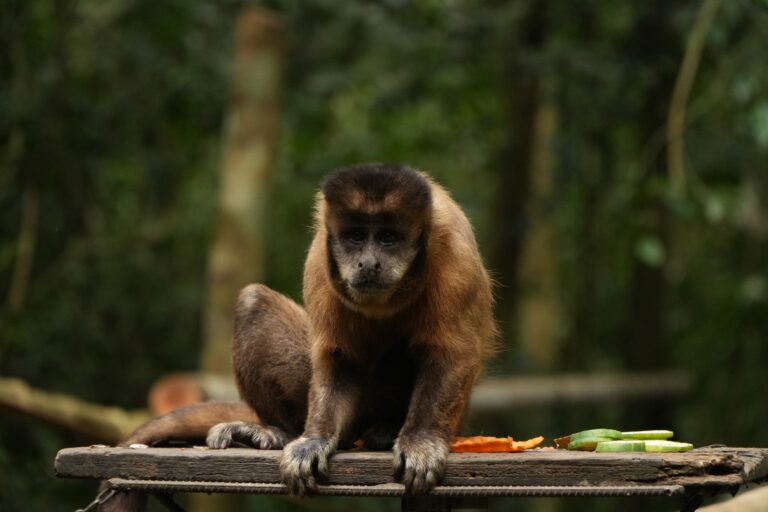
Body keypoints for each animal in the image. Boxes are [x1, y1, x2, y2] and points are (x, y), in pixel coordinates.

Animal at [100, 163, 495, 510]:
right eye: (355, 236)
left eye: (388, 238)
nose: (369, 263)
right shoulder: (320, 259)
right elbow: (337, 360)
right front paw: (314, 441)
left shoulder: (456, 253)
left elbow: (451, 354)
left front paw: (421, 441)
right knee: (253, 301)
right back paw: (281, 433)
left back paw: (387, 429)